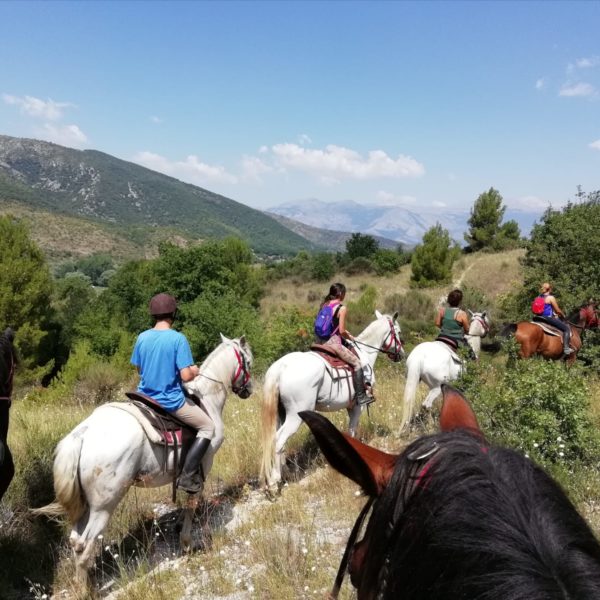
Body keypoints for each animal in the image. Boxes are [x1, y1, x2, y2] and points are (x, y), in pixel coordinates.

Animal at [32, 336, 253, 584]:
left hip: (85, 505)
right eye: (248, 362)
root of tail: (83, 434)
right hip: (103, 506)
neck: (207, 399)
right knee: (86, 544)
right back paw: (84, 588)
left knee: (75, 541)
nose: (249, 390)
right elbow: (191, 503)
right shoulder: (203, 464)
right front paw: (187, 542)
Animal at [258, 312, 404, 490]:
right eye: (398, 332)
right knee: (279, 440)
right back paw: (274, 482)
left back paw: (284, 472)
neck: (365, 352)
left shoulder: (350, 406)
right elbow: (352, 430)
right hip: (295, 416)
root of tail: (280, 367)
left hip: (282, 414)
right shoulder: (358, 406)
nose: (401, 354)